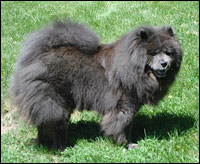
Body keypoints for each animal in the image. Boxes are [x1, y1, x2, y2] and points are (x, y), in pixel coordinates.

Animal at [10, 19, 183, 150]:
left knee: (44, 123)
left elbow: (128, 126)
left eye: (168, 52)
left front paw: (128, 142)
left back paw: (43, 143)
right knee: (55, 124)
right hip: (56, 102)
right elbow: (120, 125)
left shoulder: (131, 106)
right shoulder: (124, 106)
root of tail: (38, 54)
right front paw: (125, 145)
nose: (164, 63)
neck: (133, 65)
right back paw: (60, 147)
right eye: (153, 53)